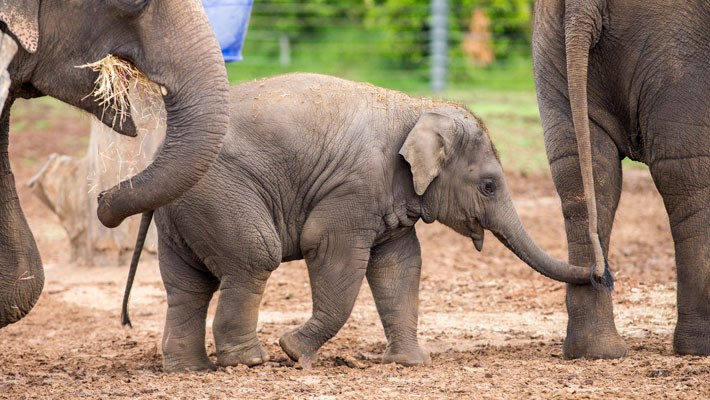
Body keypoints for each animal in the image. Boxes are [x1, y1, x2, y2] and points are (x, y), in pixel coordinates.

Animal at [122, 72, 596, 372]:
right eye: (489, 187)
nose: (601, 275)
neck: (415, 108)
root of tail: (158, 156)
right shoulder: (354, 189)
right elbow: (331, 251)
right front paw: (293, 353)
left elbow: (399, 266)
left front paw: (408, 364)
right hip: (220, 196)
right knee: (255, 257)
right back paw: (250, 362)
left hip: (187, 209)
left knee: (187, 284)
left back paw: (189, 369)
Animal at [536, 0, 710, 360]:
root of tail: (583, 6)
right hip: (678, 45)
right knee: (686, 172)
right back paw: (700, 346)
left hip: (550, 40)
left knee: (581, 169)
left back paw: (594, 351)